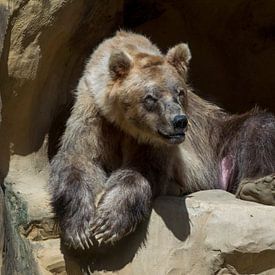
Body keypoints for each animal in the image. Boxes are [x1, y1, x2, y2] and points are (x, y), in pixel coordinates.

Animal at [49, 30, 275, 252]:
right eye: (150, 97)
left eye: (180, 92)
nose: (179, 121)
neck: (123, 123)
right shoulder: (93, 113)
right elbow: (80, 159)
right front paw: (79, 228)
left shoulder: (156, 142)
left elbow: (142, 169)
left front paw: (108, 222)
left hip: (219, 137)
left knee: (259, 126)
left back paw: (260, 186)